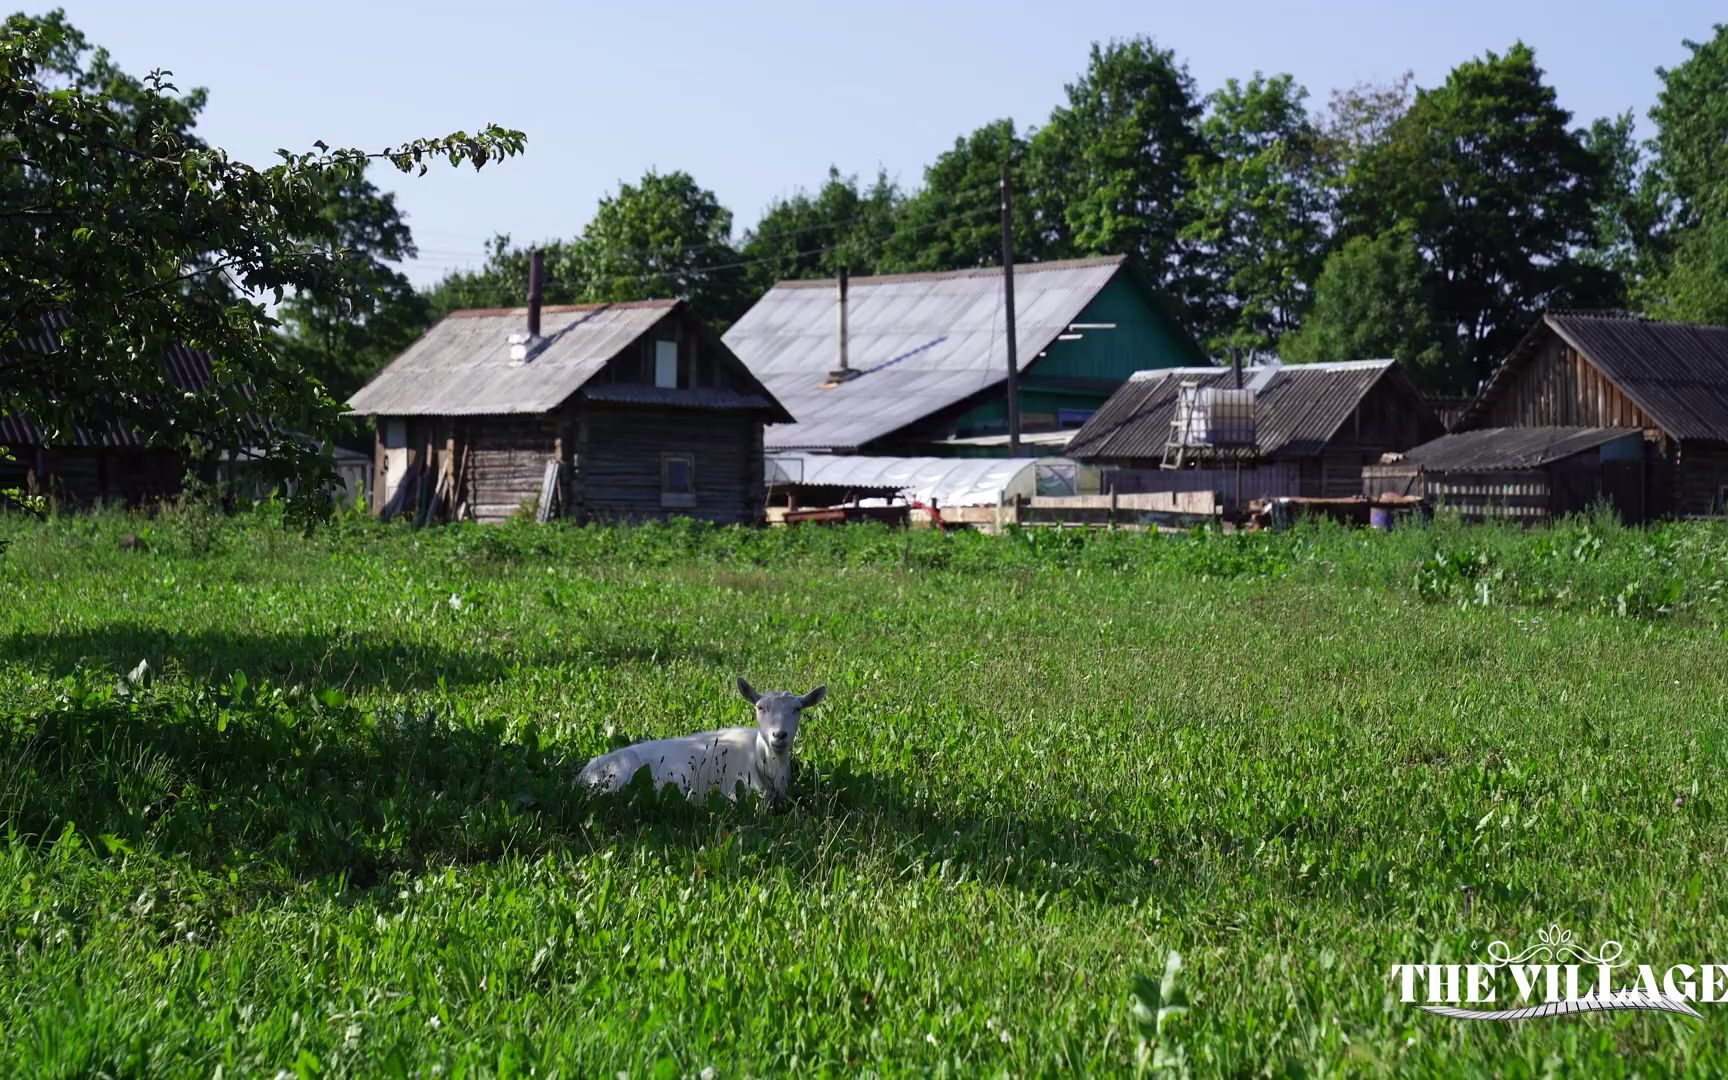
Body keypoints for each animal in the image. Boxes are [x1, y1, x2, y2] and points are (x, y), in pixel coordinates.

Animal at [577, 677, 825, 805]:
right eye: (760, 708)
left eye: (797, 709)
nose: (779, 735)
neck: (761, 758)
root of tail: (580, 778)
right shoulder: (736, 790)